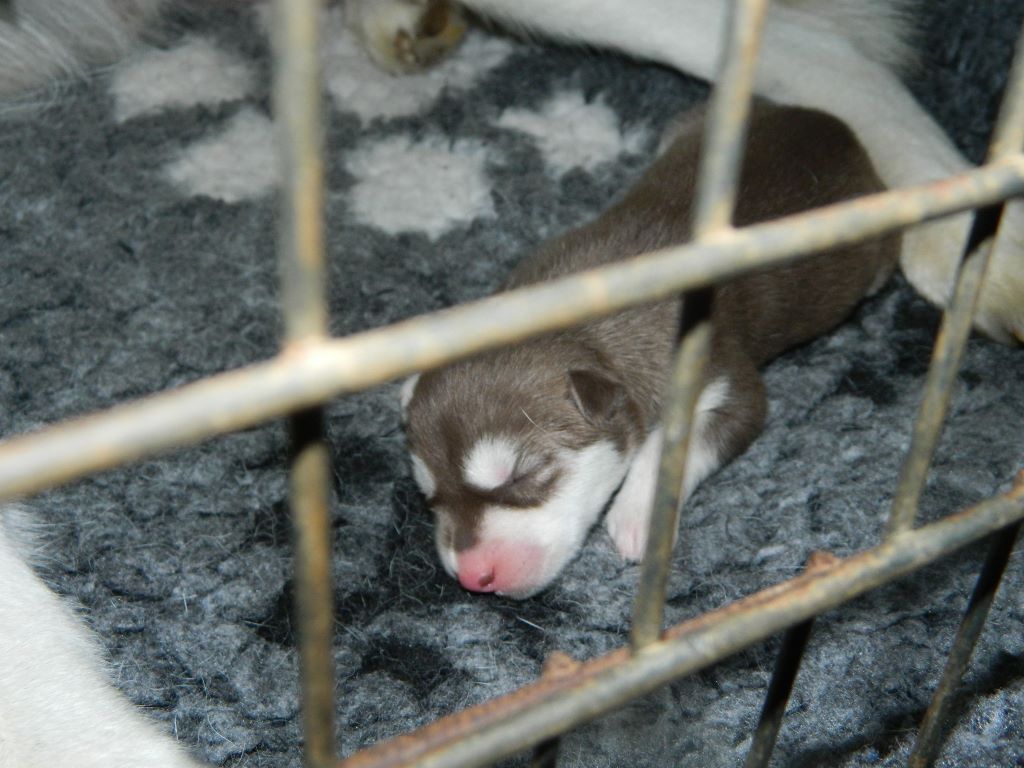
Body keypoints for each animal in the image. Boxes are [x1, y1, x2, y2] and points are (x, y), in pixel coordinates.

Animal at [402, 102, 899, 598]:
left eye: (524, 474)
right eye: (430, 497)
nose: (473, 577)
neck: (573, 320)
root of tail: (826, 120)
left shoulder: (724, 383)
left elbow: (676, 439)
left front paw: (639, 517)